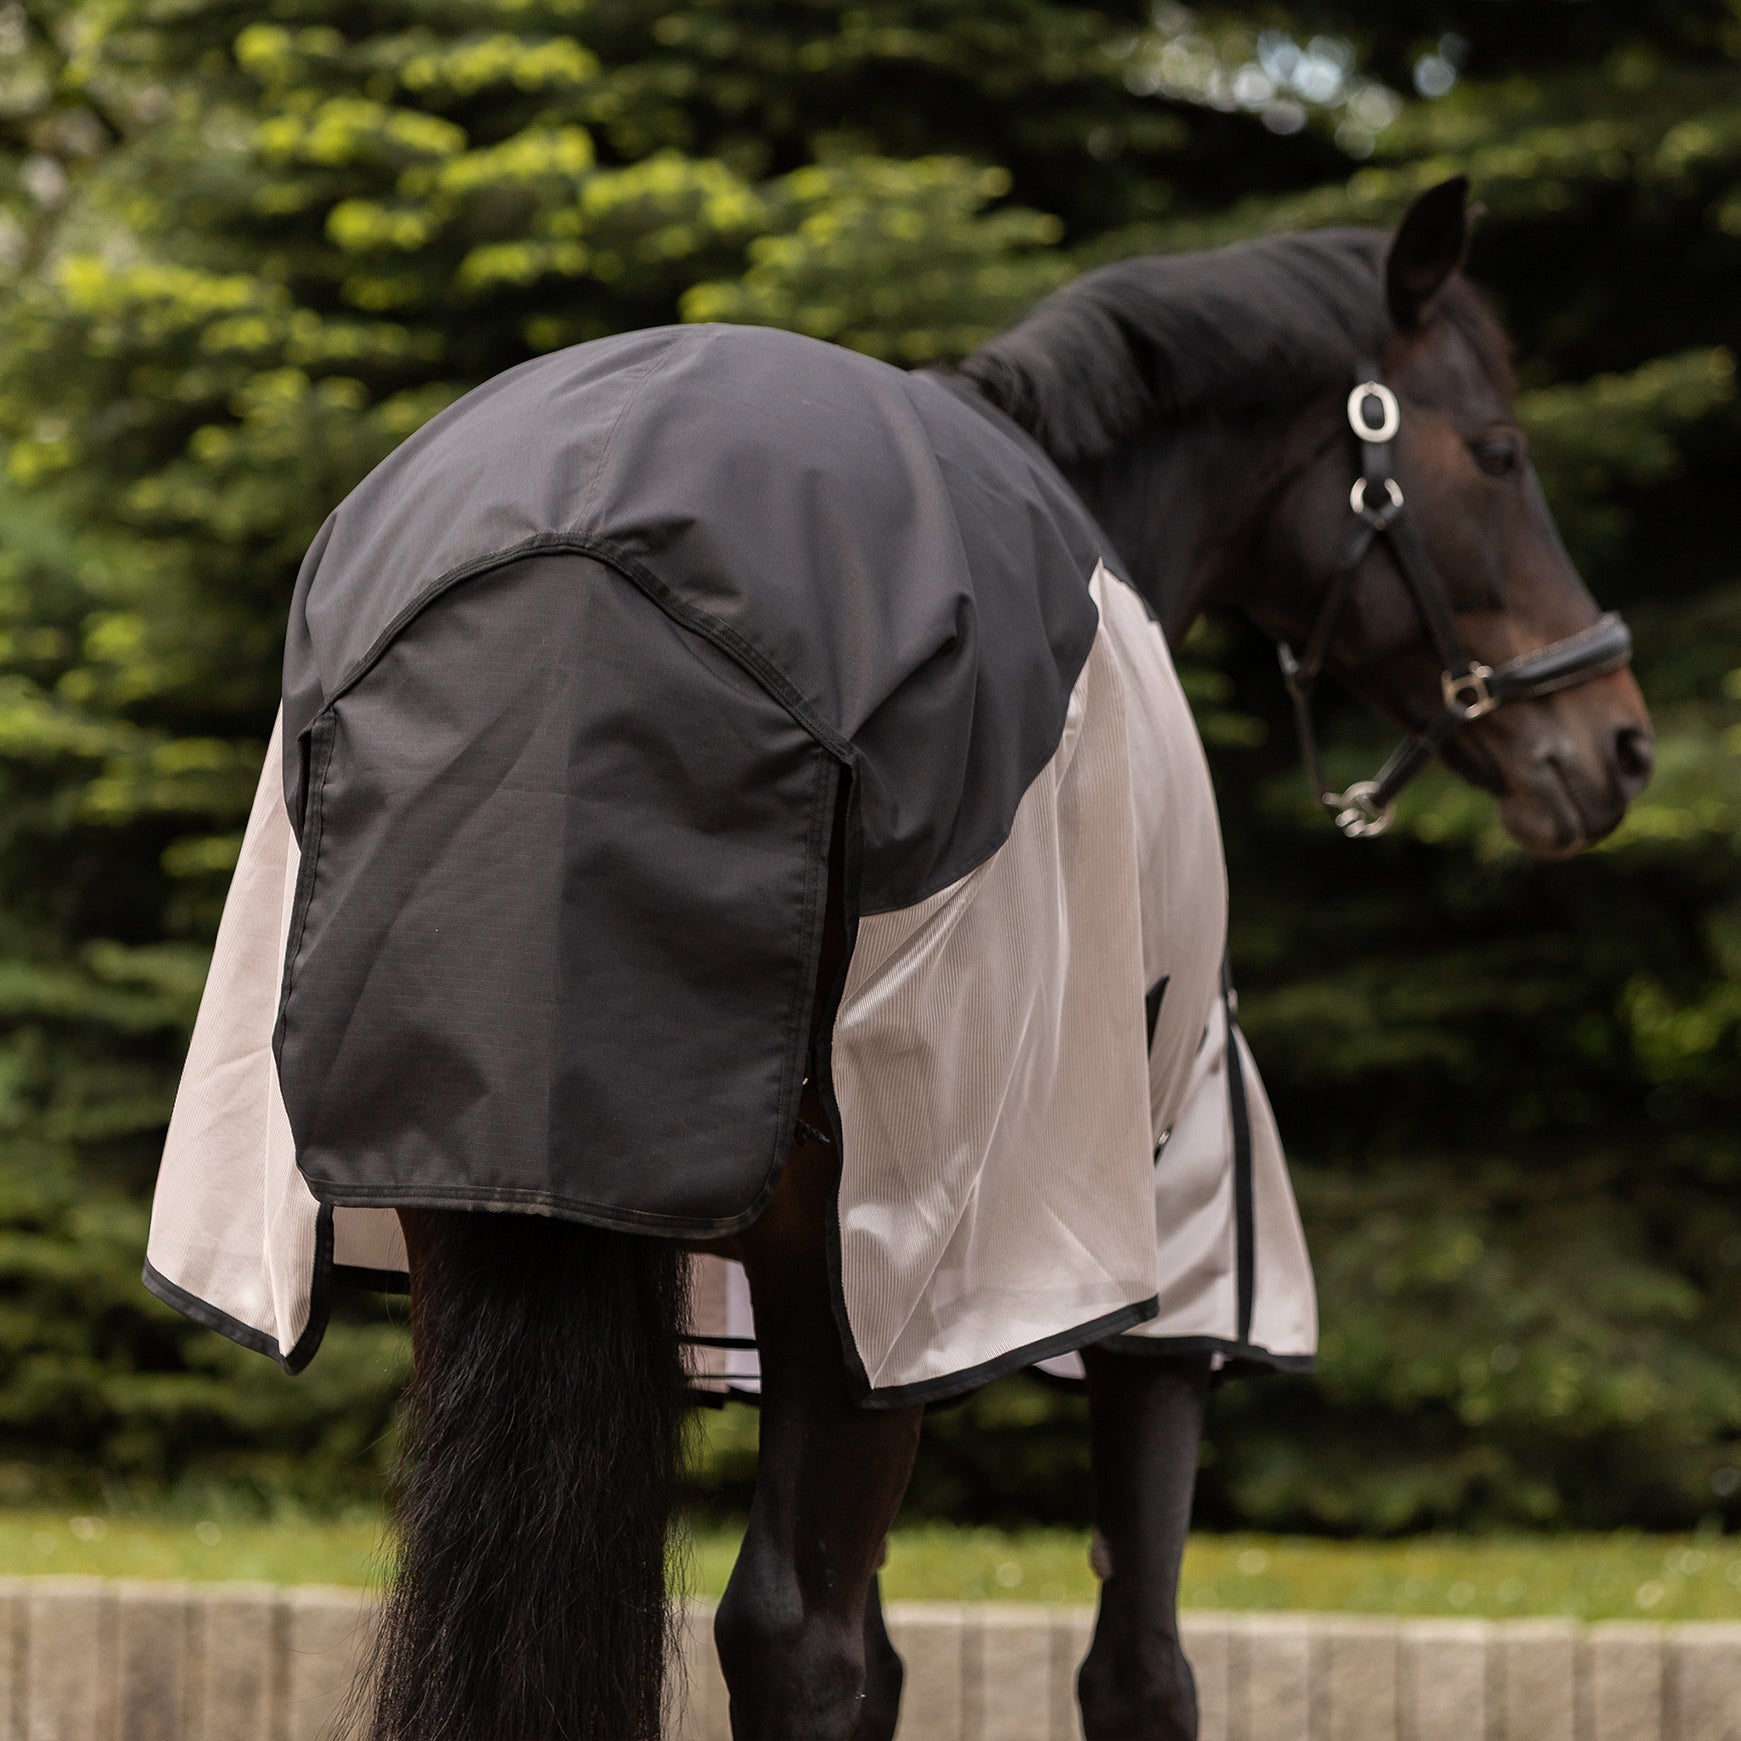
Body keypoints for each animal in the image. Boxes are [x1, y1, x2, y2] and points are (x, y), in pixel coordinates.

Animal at [143, 177, 1650, 1741]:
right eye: (1498, 451)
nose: (1615, 740)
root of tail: (580, 570)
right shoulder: (1163, 1276)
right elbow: (1133, 1664)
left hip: (474, 1217)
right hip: (863, 1262)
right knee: (793, 1640)